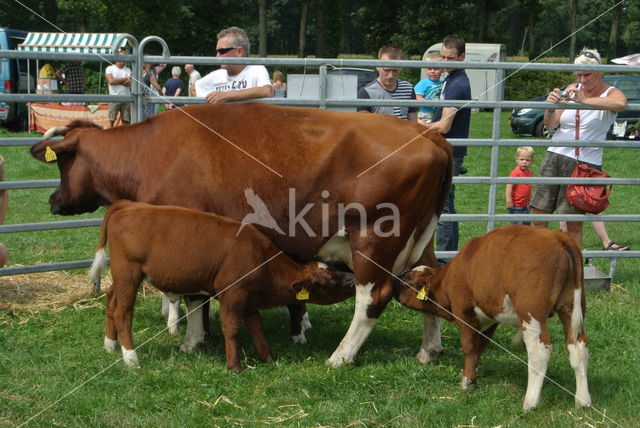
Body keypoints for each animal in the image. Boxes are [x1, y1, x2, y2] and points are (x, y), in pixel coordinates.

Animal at [89, 201, 356, 372]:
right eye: (330, 279)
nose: (353, 279)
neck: (259, 256)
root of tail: (128, 206)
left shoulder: (249, 300)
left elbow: (257, 328)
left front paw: (268, 357)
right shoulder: (232, 295)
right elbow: (232, 329)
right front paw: (234, 366)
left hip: (121, 278)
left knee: (111, 300)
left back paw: (109, 344)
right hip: (128, 274)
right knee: (123, 312)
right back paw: (131, 358)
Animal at [392, 227, 592, 412]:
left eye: (407, 277)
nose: (394, 283)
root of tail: (557, 236)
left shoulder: (464, 312)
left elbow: (469, 347)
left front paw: (467, 382)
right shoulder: (490, 318)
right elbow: (480, 347)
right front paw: (473, 374)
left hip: (531, 313)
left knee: (539, 351)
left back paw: (530, 402)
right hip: (571, 308)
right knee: (578, 348)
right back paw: (583, 401)